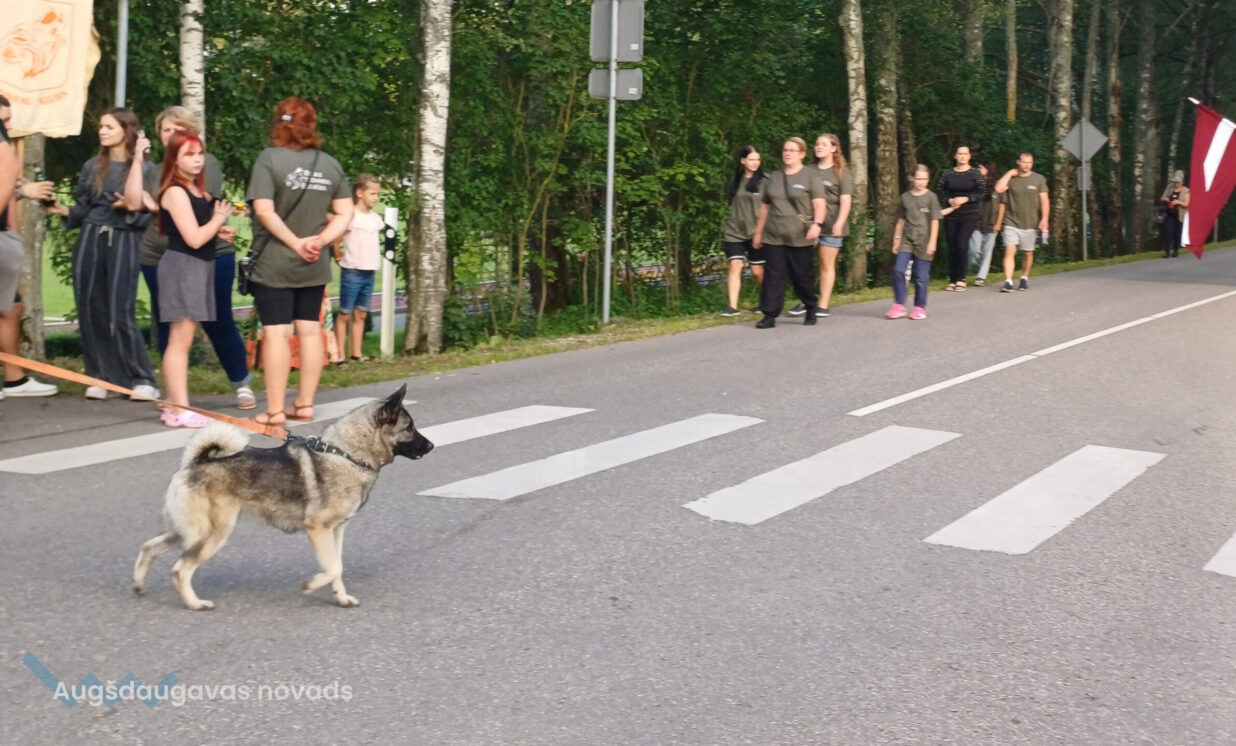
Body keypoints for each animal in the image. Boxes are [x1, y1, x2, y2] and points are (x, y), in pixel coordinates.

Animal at [133, 385, 433, 610]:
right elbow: (332, 567)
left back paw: (138, 584)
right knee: (180, 569)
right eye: (409, 427)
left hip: (187, 531)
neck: (346, 454)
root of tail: (194, 462)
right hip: (210, 534)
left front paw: (341, 597)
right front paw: (311, 585)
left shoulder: (336, 531)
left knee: (149, 546)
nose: (431, 445)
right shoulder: (318, 529)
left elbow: (337, 566)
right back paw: (195, 603)